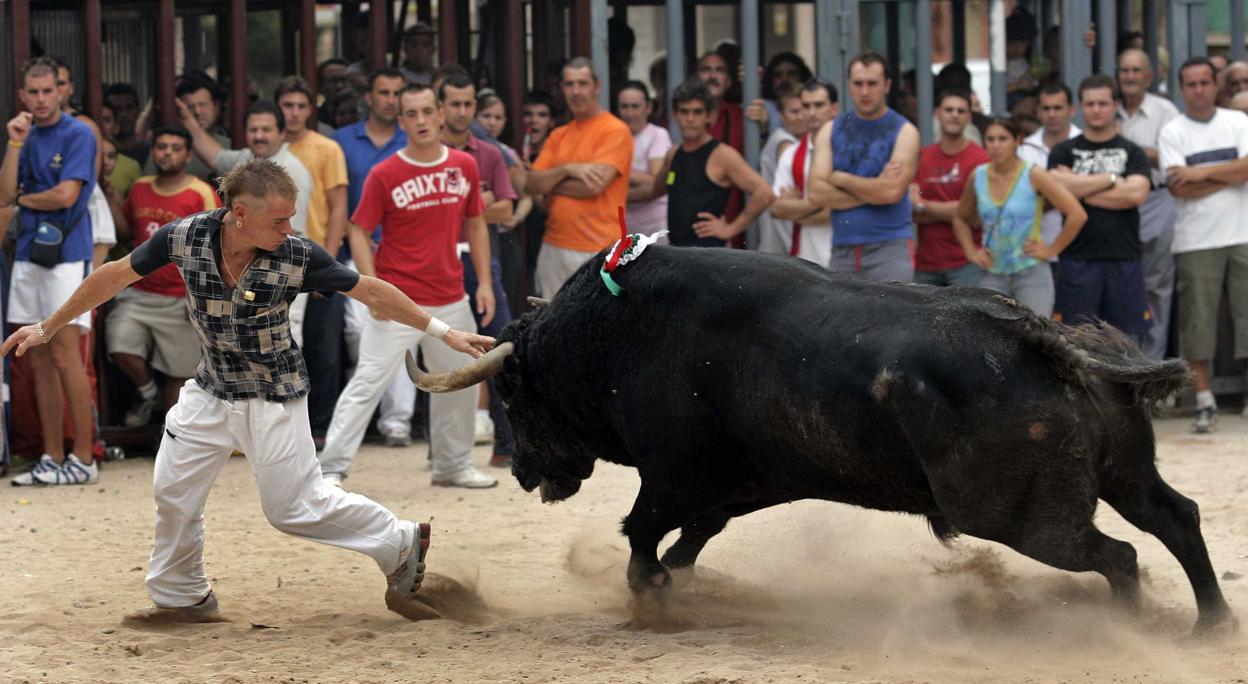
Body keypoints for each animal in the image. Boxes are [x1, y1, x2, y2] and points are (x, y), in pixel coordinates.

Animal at [414, 244, 1233, 631]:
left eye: (513, 394)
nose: (524, 472)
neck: (614, 333)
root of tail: (1041, 335)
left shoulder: (674, 474)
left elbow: (643, 534)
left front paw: (650, 601)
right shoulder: (738, 484)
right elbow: (689, 539)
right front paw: (677, 586)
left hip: (1023, 517)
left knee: (1118, 555)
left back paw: (1119, 629)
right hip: (1123, 473)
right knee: (1175, 517)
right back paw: (1209, 624)